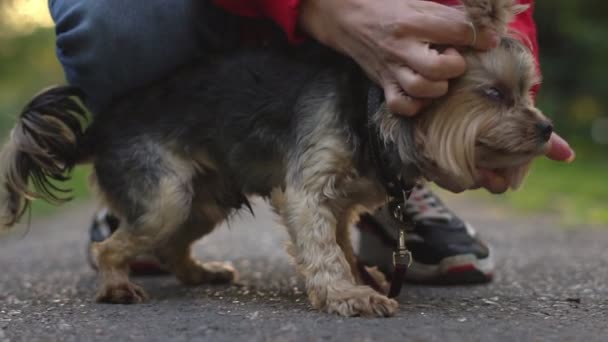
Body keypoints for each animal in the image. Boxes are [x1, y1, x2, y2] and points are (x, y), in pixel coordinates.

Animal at [0, 0, 552, 318]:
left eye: (526, 92)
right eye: (495, 94)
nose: (546, 130)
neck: (370, 112)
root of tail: (97, 129)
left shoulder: (342, 203)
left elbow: (341, 243)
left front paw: (358, 279)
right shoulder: (309, 189)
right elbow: (324, 248)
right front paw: (349, 296)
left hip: (202, 200)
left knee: (173, 245)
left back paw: (200, 273)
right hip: (164, 195)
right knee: (112, 246)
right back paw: (117, 286)